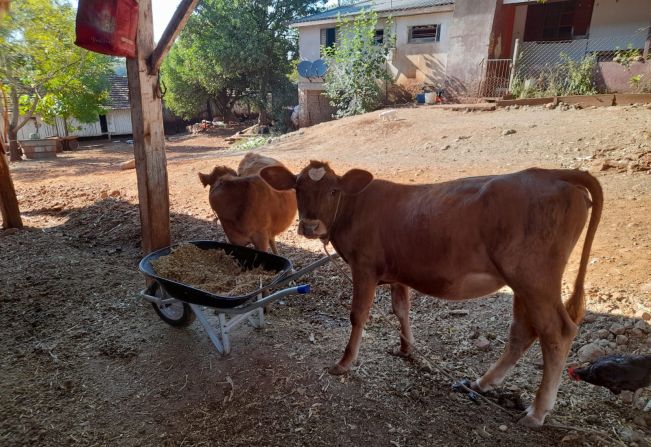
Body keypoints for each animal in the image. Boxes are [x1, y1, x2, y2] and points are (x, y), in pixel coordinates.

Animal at [258, 162, 600, 428]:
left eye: (333, 191)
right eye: (298, 188)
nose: (310, 226)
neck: (355, 207)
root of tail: (550, 173)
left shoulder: (364, 267)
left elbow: (359, 314)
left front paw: (344, 362)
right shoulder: (397, 272)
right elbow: (401, 309)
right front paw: (406, 349)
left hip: (534, 278)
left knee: (557, 332)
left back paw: (537, 411)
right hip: (522, 283)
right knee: (523, 332)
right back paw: (483, 383)